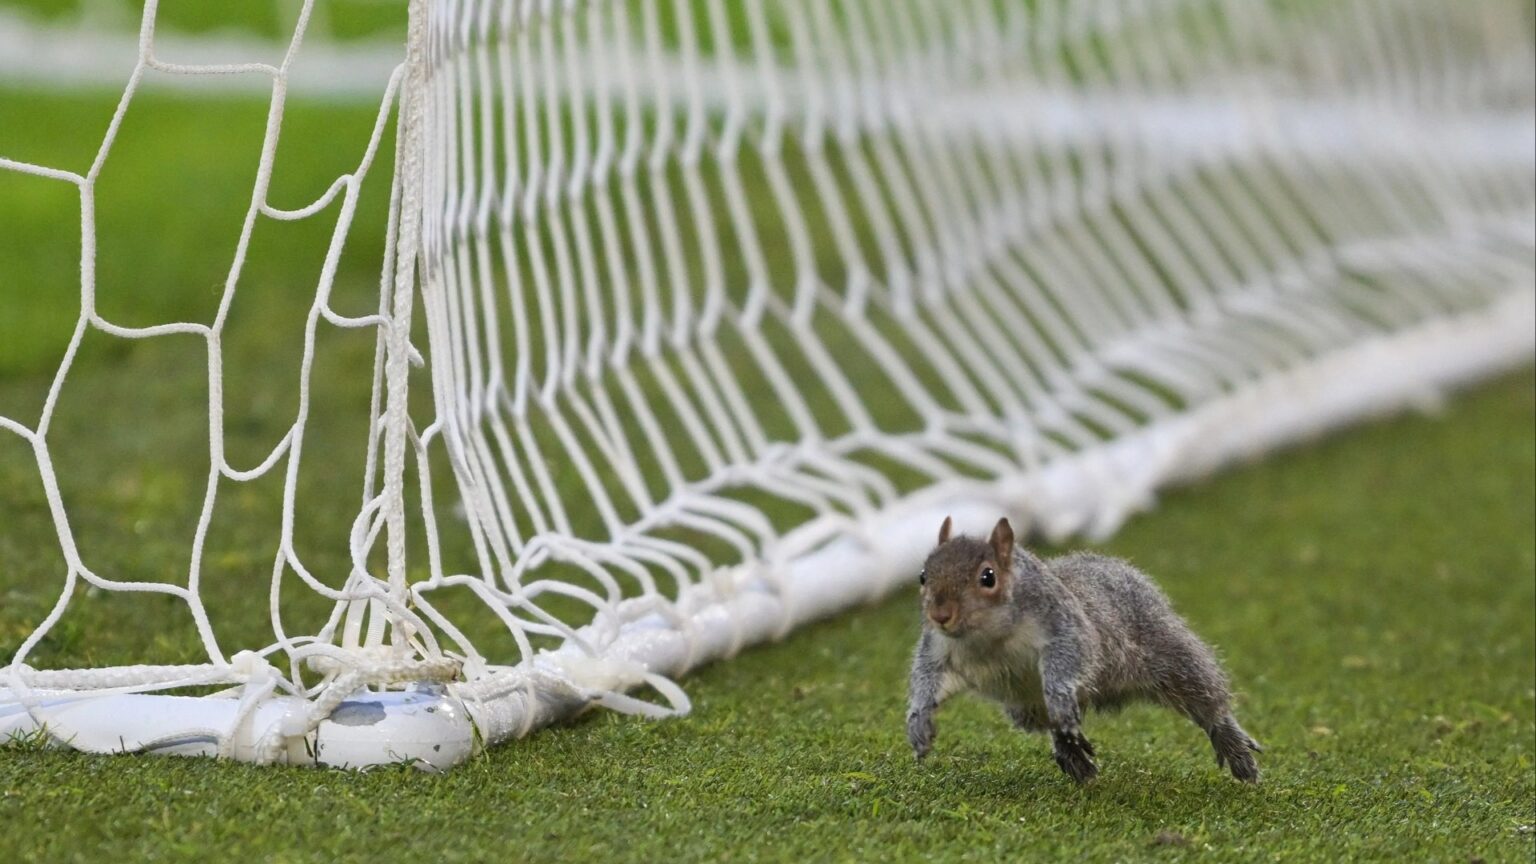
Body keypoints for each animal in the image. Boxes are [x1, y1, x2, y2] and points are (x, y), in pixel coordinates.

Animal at [906, 516, 1261, 784]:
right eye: (923, 576)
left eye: (988, 577)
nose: (940, 615)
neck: (988, 638)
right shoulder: (938, 650)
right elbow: (926, 679)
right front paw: (918, 721)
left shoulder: (1065, 626)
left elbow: (1070, 656)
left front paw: (1060, 694)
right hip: (1027, 709)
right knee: (1056, 726)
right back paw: (1072, 751)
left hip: (1173, 658)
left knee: (1206, 701)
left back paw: (1234, 747)